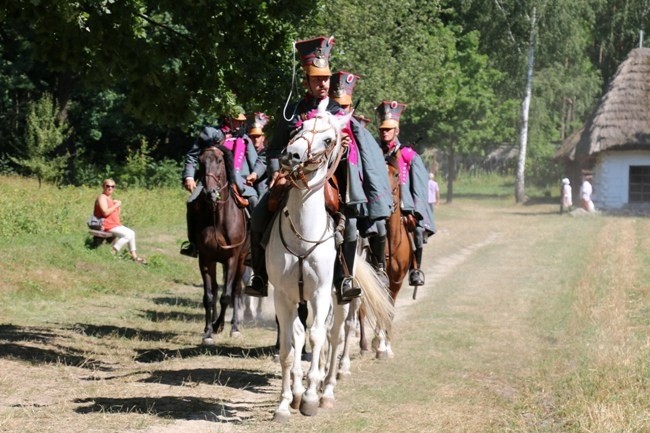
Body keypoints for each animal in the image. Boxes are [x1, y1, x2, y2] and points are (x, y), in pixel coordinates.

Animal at [191, 147, 249, 342]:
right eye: (200, 161)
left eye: (219, 160)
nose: (210, 193)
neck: (218, 217)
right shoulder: (206, 259)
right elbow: (209, 296)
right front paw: (209, 331)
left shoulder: (232, 258)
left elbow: (226, 296)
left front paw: (218, 326)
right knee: (216, 289)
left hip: (242, 260)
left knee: (236, 290)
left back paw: (235, 327)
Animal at [268, 99, 392, 420]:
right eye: (298, 128)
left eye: (328, 140)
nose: (292, 155)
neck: (303, 233)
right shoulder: (284, 296)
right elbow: (288, 347)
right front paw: (286, 402)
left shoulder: (322, 293)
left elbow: (317, 337)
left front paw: (311, 397)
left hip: (339, 298)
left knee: (334, 335)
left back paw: (328, 391)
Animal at [356, 157, 408, 356]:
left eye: (396, 174)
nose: (389, 203)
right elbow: (365, 307)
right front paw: (370, 344)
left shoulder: (396, 281)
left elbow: (389, 309)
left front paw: (386, 345)